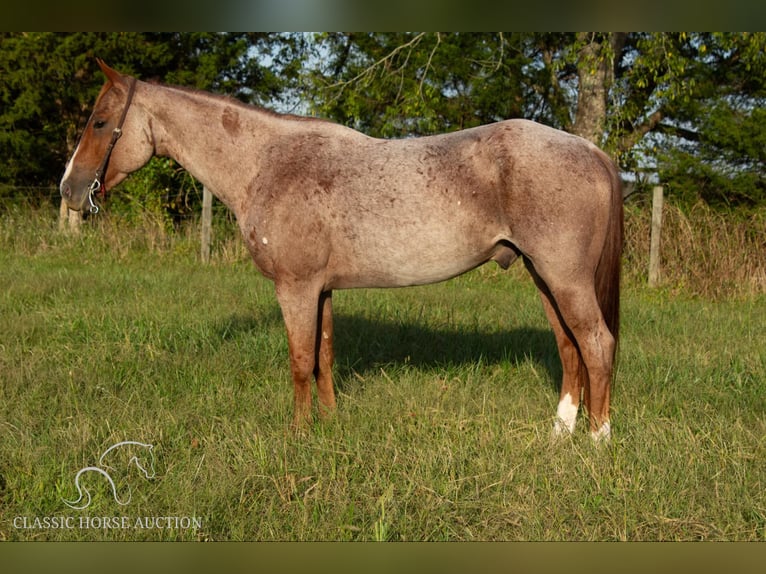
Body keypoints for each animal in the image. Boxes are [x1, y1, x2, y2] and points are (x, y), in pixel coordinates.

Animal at [61, 60, 624, 444]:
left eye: (99, 121)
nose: (69, 190)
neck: (266, 163)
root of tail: (590, 149)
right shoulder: (323, 290)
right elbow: (324, 358)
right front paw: (330, 425)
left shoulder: (295, 288)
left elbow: (298, 360)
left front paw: (297, 435)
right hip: (544, 277)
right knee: (569, 348)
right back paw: (560, 433)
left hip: (564, 278)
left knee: (597, 344)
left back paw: (598, 439)